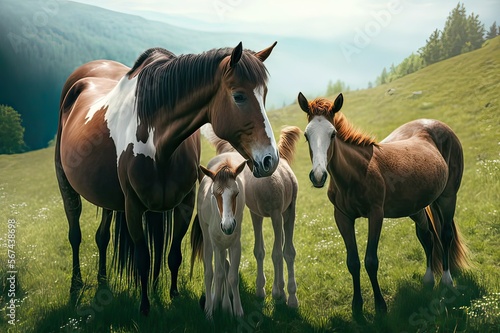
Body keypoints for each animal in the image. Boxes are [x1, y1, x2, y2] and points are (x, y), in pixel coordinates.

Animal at [57, 42, 282, 314]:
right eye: (239, 96)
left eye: (264, 94)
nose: (270, 160)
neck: (157, 138)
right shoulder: (133, 207)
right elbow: (143, 258)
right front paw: (144, 307)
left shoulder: (184, 203)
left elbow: (174, 254)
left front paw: (173, 295)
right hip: (67, 185)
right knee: (75, 234)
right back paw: (76, 285)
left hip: (108, 197)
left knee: (102, 238)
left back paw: (103, 282)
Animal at [200, 124, 300, 306]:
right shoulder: (257, 214)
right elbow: (260, 251)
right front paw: (262, 289)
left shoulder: (277, 213)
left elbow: (278, 253)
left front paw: (280, 293)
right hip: (283, 212)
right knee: (284, 250)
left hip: (283, 213)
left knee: (283, 251)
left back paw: (288, 296)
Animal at [298, 92, 470, 316]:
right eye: (306, 135)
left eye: (333, 134)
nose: (318, 176)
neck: (356, 172)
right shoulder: (342, 217)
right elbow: (353, 262)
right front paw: (357, 307)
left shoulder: (376, 215)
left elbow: (371, 261)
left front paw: (380, 306)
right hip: (416, 207)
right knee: (427, 236)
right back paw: (428, 280)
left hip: (448, 197)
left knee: (445, 234)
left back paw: (447, 281)